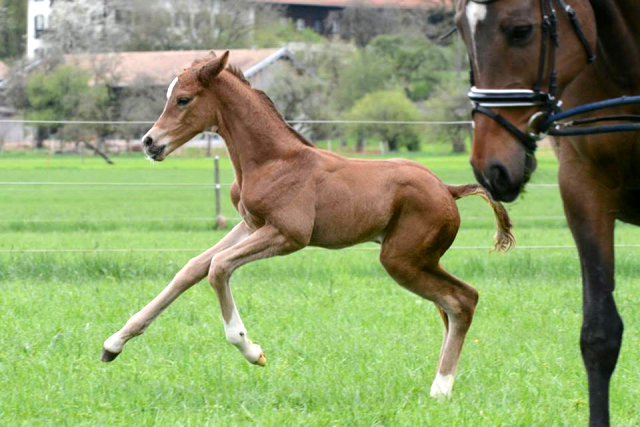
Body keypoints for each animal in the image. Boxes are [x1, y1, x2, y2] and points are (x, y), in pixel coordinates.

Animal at [100, 51, 516, 400]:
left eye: (183, 99)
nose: (149, 142)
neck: (272, 160)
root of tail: (448, 189)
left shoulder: (288, 235)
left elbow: (218, 268)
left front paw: (252, 350)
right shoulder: (249, 225)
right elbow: (192, 269)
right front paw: (113, 343)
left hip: (402, 259)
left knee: (462, 300)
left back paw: (440, 390)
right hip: (420, 259)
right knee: (453, 305)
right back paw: (443, 384)